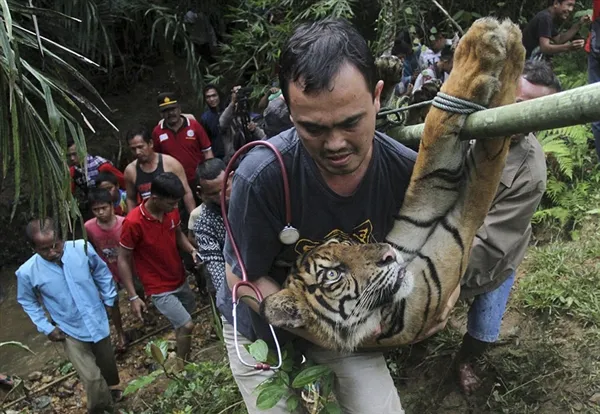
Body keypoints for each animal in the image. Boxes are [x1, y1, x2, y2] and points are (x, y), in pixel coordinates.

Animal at [258, 17, 524, 352]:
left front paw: (500, 43)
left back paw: (390, 73)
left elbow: (433, 147)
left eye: (349, 244)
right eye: (332, 274)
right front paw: (490, 49)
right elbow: (487, 161)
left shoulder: (416, 217)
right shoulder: (453, 245)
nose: (387, 255)